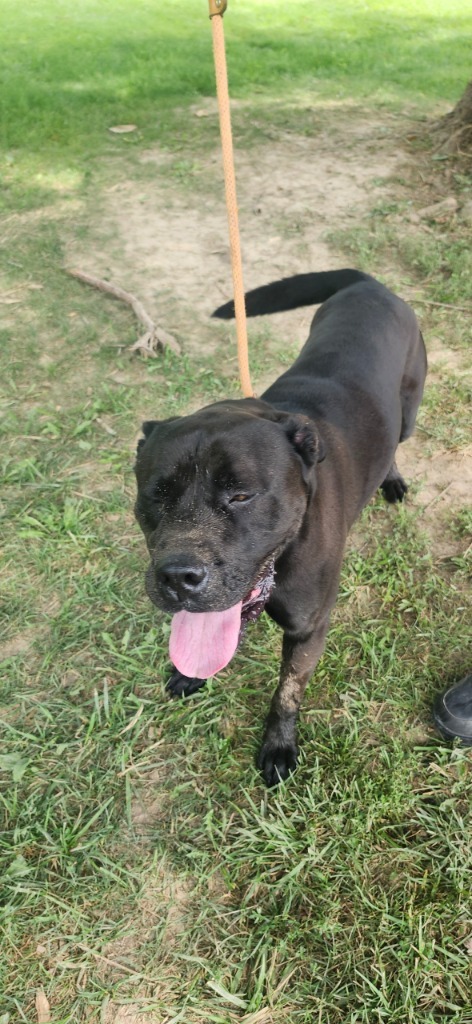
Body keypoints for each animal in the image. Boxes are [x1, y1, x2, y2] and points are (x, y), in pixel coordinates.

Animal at [135, 270, 425, 782]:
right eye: (157, 493)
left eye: (241, 495)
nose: (177, 577)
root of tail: (370, 282)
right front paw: (189, 673)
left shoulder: (308, 629)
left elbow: (287, 692)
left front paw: (278, 747)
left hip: (409, 409)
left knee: (397, 441)